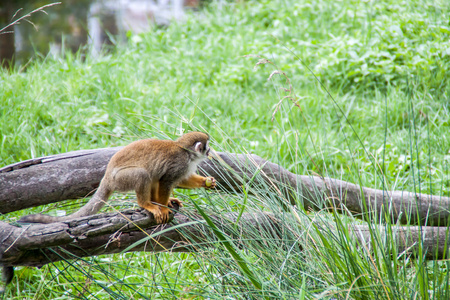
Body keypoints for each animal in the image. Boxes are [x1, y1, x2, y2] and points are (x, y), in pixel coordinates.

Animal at [20, 132, 217, 224]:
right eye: (207, 146)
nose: (210, 151)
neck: (187, 154)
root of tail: (106, 177)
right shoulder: (179, 163)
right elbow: (166, 181)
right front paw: (163, 207)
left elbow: (179, 180)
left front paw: (206, 182)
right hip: (120, 179)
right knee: (143, 174)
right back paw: (147, 204)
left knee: (153, 175)